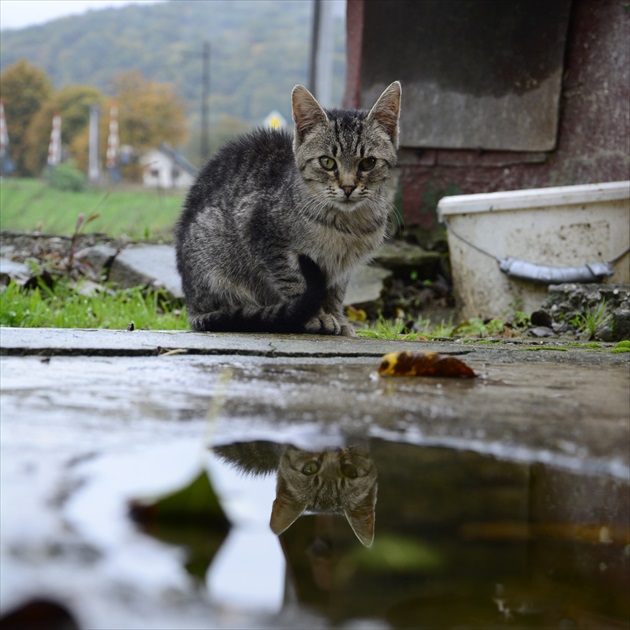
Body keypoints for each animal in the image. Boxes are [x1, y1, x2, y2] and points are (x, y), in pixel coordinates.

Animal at [175, 82, 402, 336]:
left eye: (368, 163)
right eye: (327, 162)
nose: (348, 187)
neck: (346, 225)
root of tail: (192, 307)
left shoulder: (342, 268)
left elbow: (335, 294)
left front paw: (337, 319)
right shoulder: (263, 233)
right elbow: (294, 281)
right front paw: (315, 317)